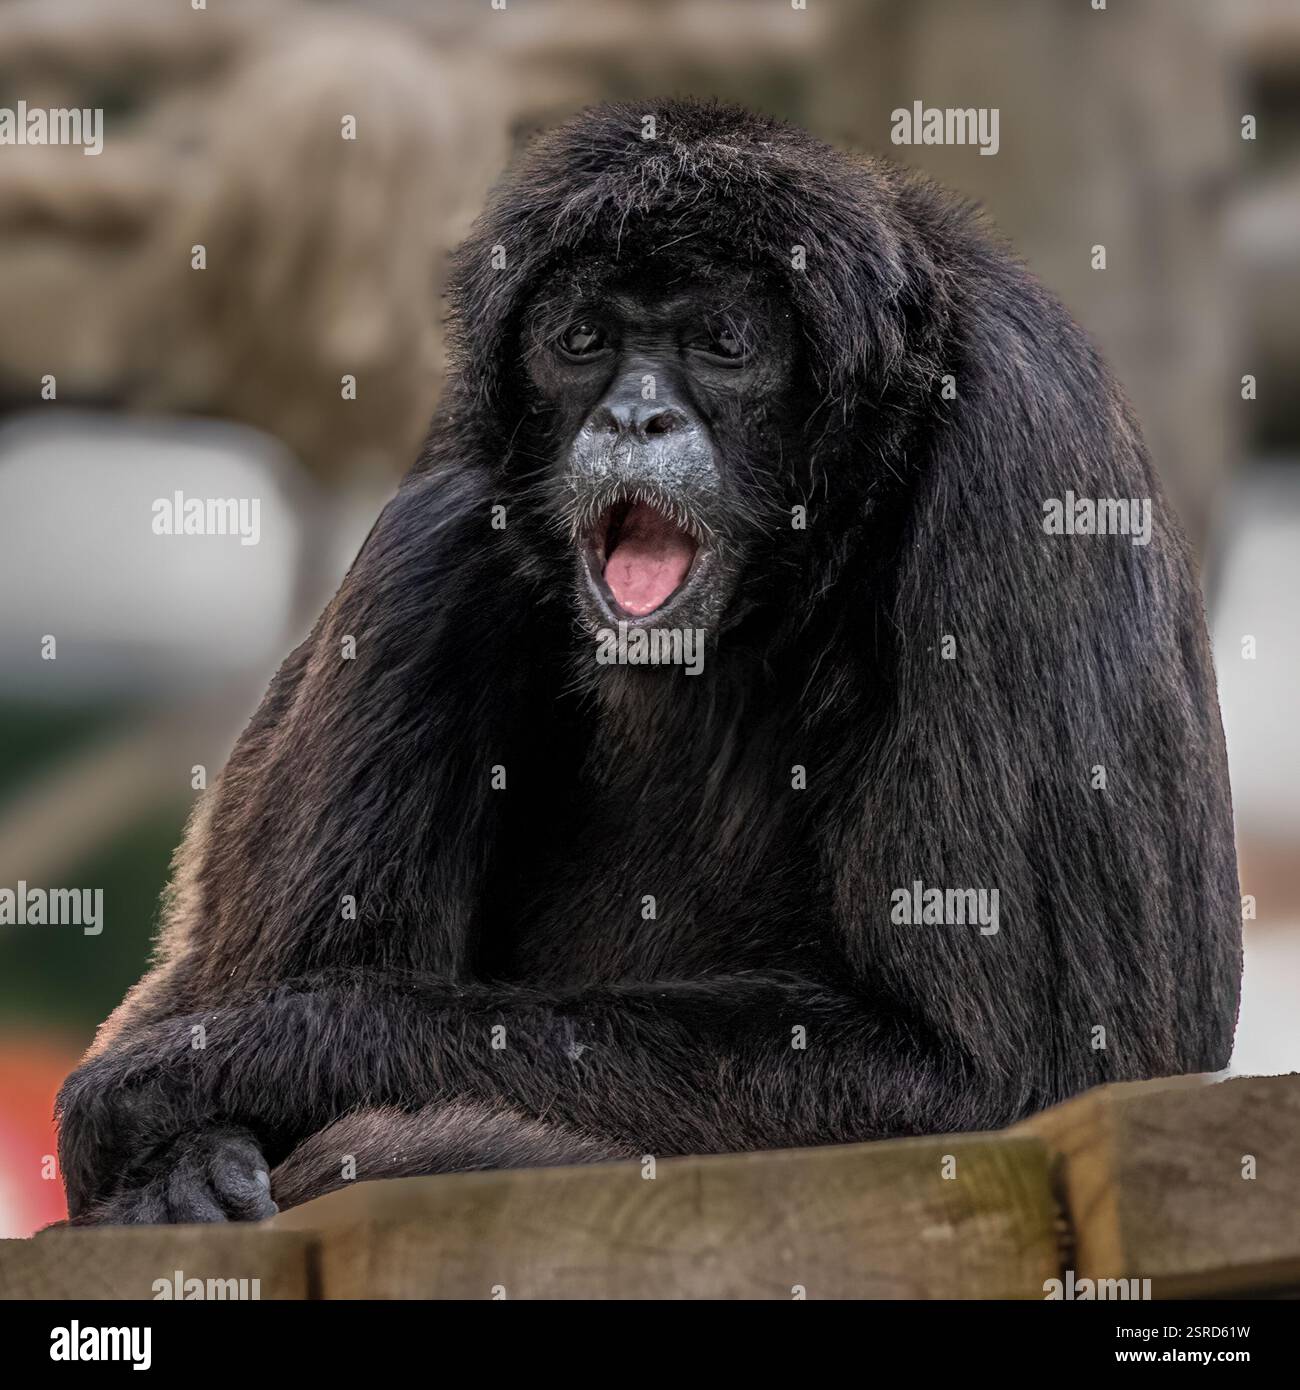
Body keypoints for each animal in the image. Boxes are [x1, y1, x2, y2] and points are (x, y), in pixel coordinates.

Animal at [57, 99, 1241, 1224]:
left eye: (722, 343)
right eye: (584, 340)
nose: (635, 414)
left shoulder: (1024, 459)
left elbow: (1000, 1075)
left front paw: (231, 1062)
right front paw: (186, 1128)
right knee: (449, 527)